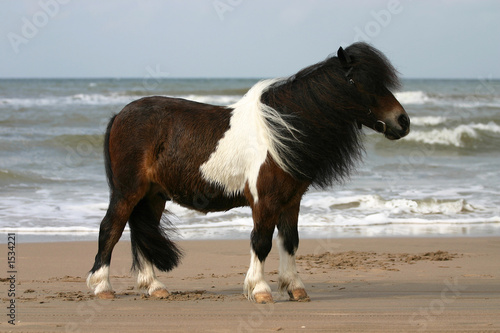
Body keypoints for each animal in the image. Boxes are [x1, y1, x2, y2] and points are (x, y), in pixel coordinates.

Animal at [87, 41, 410, 300]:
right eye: (355, 80)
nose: (402, 122)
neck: (281, 131)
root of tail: (120, 115)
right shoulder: (265, 201)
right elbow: (261, 241)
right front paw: (260, 290)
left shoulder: (291, 201)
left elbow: (290, 241)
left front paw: (295, 288)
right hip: (128, 191)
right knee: (110, 229)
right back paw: (103, 288)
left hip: (153, 196)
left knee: (141, 233)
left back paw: (155, 288)